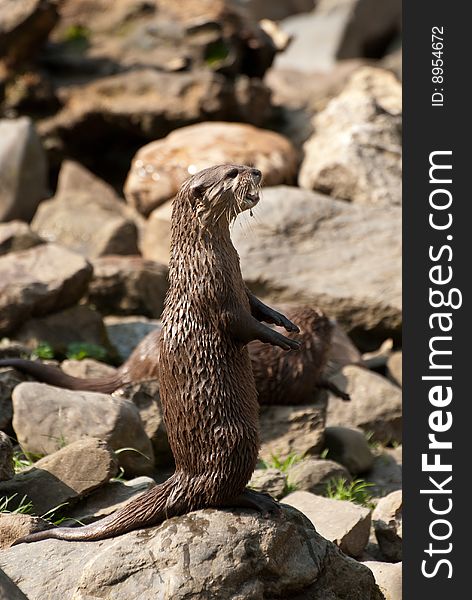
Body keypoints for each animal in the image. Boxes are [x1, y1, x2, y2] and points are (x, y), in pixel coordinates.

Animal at [12, 164, 300, 544]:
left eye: (240, 166)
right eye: (231, 172)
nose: (256, 170)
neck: (204, 259)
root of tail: (183, 475)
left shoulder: (240, 286)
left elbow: (258, 305)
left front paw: (285, 321)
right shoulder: (214, 296)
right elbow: (241, 324)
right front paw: (281, 341)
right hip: (238, 439)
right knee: (215, 494)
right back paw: (256, 498)